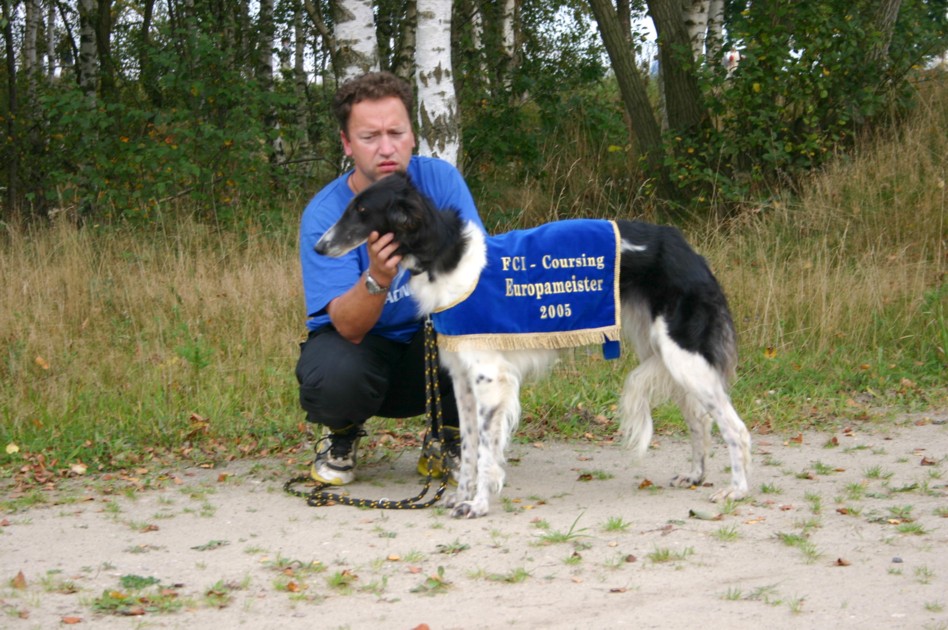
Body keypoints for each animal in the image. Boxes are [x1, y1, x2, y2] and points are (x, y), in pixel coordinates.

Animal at [315, 172, 751, 518]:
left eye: (361, 209)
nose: (319, 247)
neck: (445, 257)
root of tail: (687, 249)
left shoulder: (490, 379)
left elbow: (486, 451)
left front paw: (477, 505)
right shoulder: (461, 380)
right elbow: (470, 449)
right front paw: (459, 496)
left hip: (683, 356)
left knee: (736, 429)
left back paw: (737, 490)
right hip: (665, 354)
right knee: (700, 421)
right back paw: (695, 475)